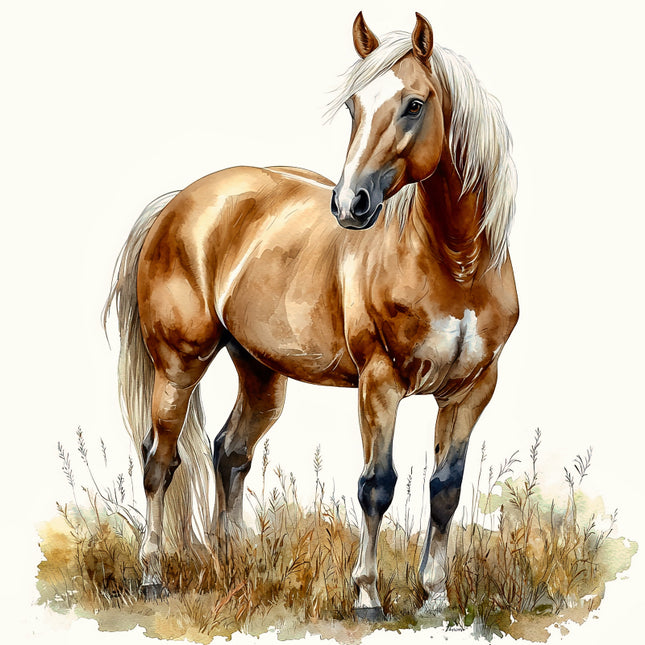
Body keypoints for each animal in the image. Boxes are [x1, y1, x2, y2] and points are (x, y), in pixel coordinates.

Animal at [104, 12, 518, 618]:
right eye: (353, 105)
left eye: (415, 103)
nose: (351, 204)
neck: (455, 264)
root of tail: (178, 201)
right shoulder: (380, 383)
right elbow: (377, 485)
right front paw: (367, 594)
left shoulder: (472, 390)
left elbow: (446, 490)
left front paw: (436, 598)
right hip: (178, 367)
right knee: (160, 463)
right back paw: (154, 575)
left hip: (259, 370)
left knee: (230, 451)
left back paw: (236, 563)